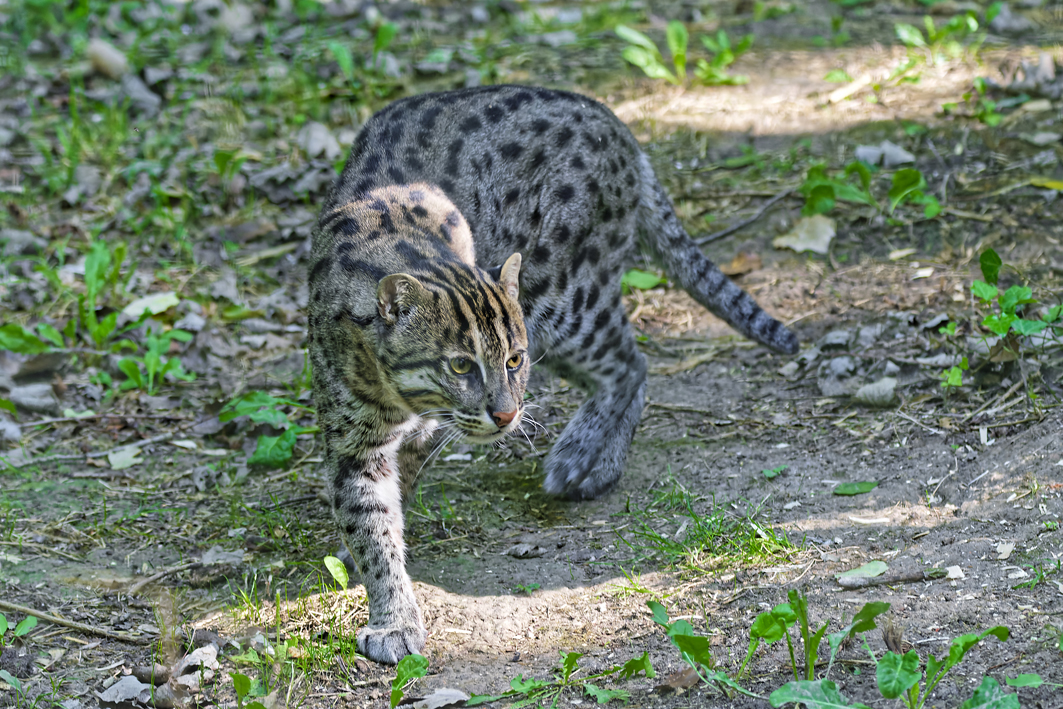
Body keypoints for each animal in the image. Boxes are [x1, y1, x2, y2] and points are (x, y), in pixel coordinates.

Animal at [307, 85, 798, 664]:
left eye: (513, 360)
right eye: (460, 364)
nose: (505, 415)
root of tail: (611, 119)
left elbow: (378, 519)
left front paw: (393, 618)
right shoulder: (354, 438)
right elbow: (372, 520)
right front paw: (383, 588)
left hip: (565, 301)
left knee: (630, 363)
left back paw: (585, 457)